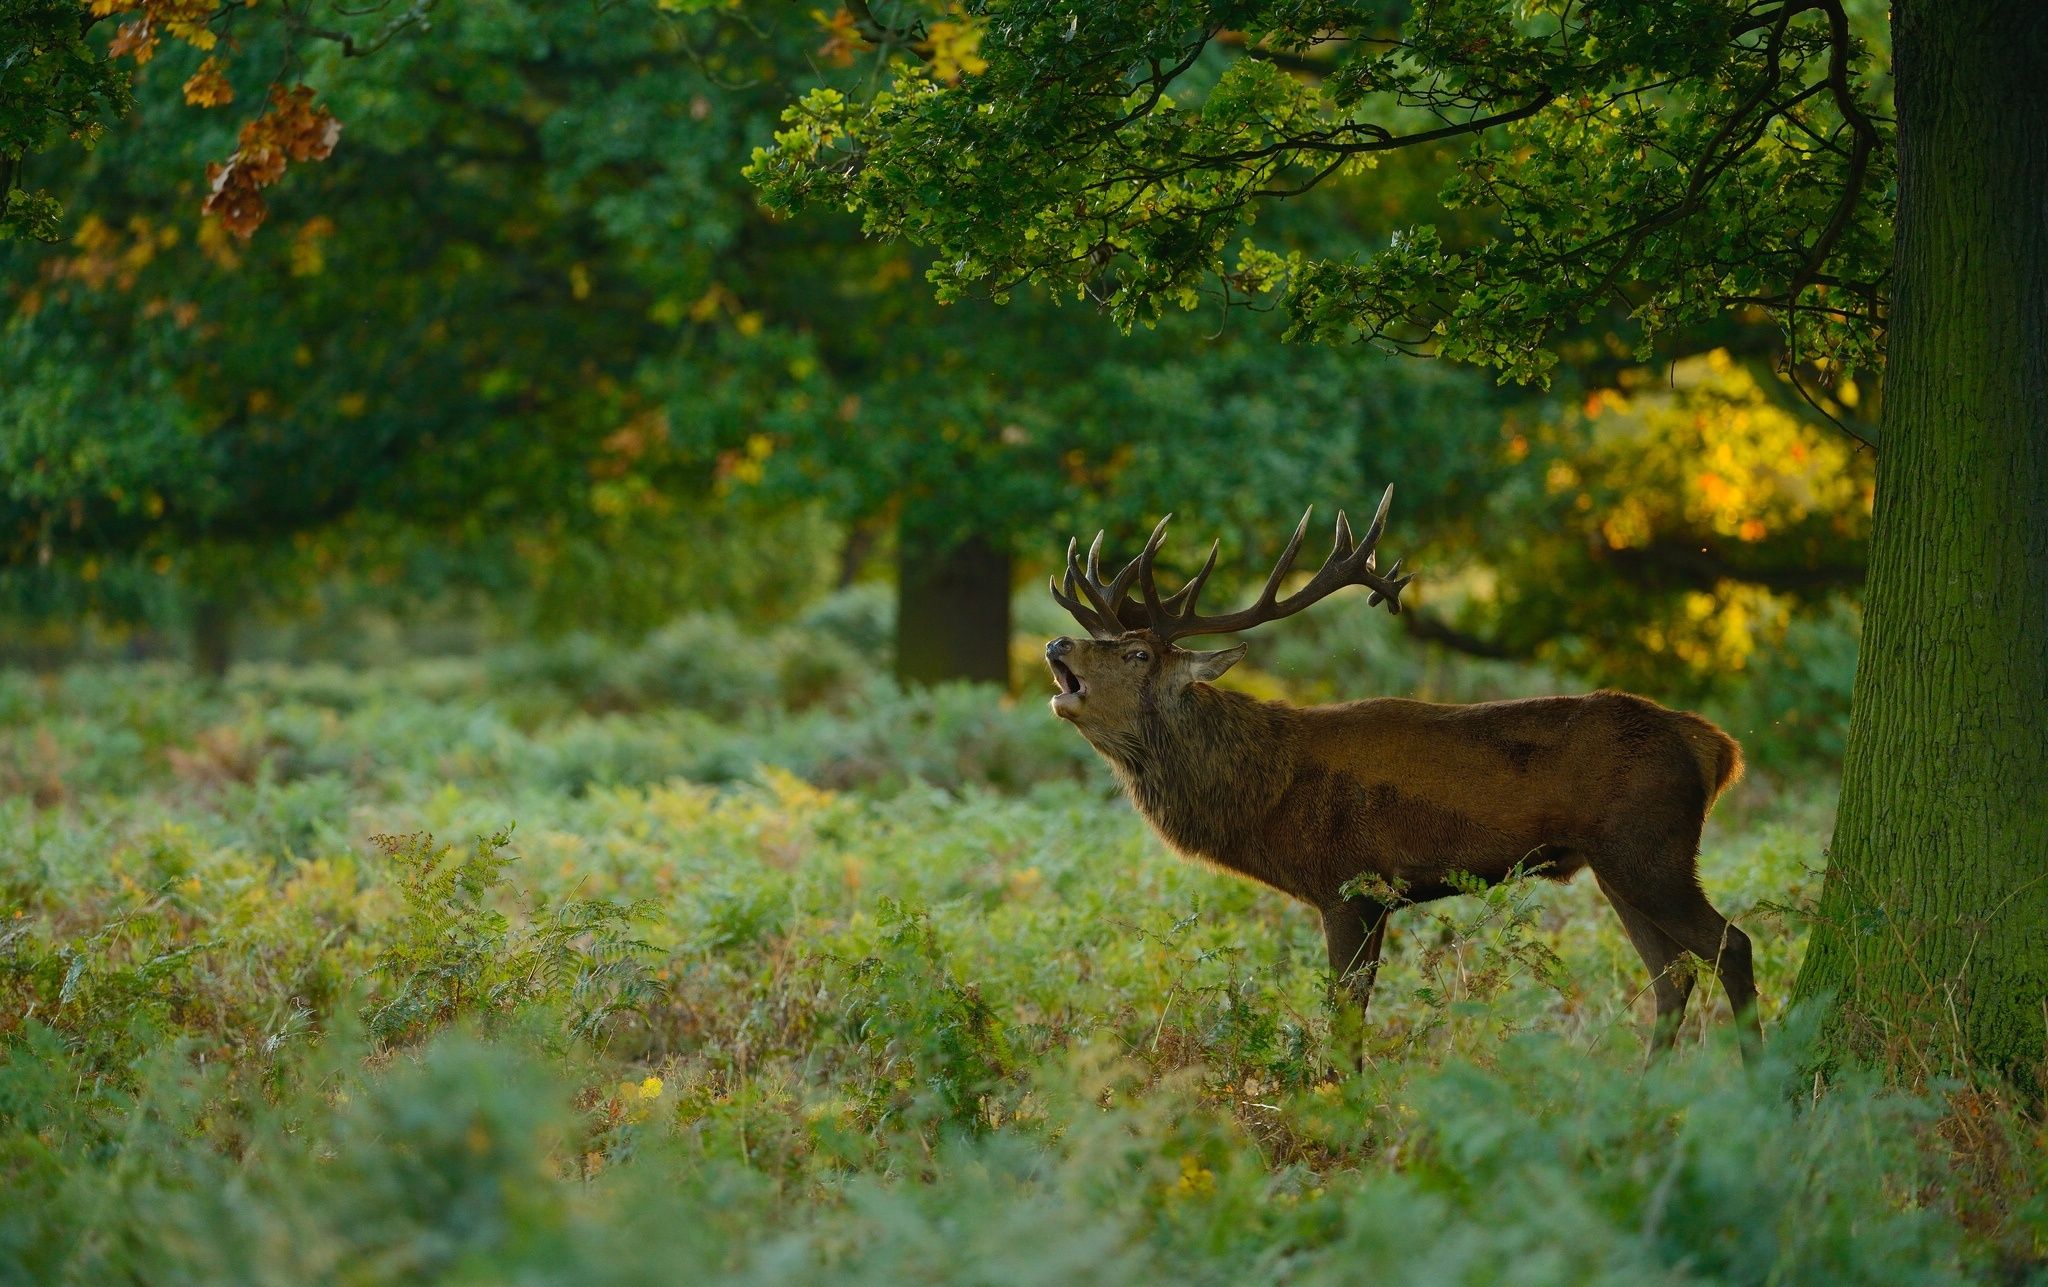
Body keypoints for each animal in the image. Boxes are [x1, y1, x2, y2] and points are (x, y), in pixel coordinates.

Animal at [1040, 487, 1761, 1057]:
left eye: (1136, 653)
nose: (1055, 641)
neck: (1265, 796)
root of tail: (1717, 747)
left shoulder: (1350, 883)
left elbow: (1346, 1017)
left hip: (1651, 849)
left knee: (1732, 945)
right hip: (1616, 865)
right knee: (1673, 974)